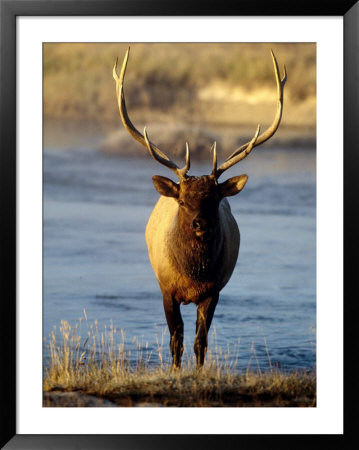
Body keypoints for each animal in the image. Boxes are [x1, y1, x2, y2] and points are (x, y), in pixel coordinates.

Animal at [112, 46, 286, 370]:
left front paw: (199, 371)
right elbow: (176, 340)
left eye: (214, 199)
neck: (193, 274)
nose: (200, 223)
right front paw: (175, 372)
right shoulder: (166, 288)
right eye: (182, 200)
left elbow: (199, 341)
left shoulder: (214, 291)